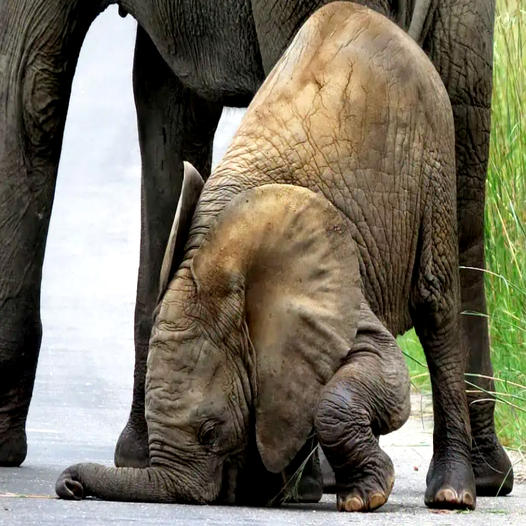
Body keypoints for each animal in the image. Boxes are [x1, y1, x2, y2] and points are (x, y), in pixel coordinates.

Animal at [0, 0, 512, 498]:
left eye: (210, 432)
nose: (68, 485)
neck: (221, 257)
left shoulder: (341, 294)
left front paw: (353, 493)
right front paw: (280, 485)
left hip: (429, 170)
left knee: (436, 301)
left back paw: (449, 490)